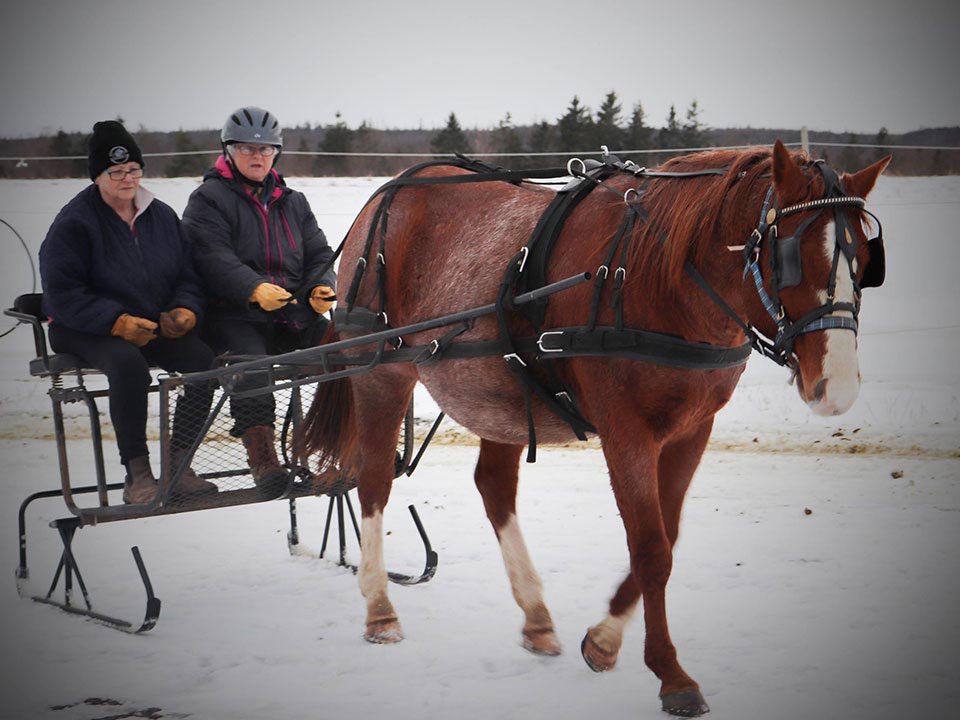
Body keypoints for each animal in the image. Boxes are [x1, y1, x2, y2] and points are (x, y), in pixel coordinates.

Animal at [296, 141, 888, 716]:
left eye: (864, 260)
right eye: (789, 258)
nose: (837, 388)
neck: (657, 276)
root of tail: (389, 192)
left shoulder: (692, 429)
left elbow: (668, 536)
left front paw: (603, 641)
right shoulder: (626, 429)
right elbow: (651, 547)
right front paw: (671, 675)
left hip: (499, 393)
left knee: (494, 488)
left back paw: (536, 616)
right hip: (381, 371)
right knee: (374, 480)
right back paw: (380, 610)